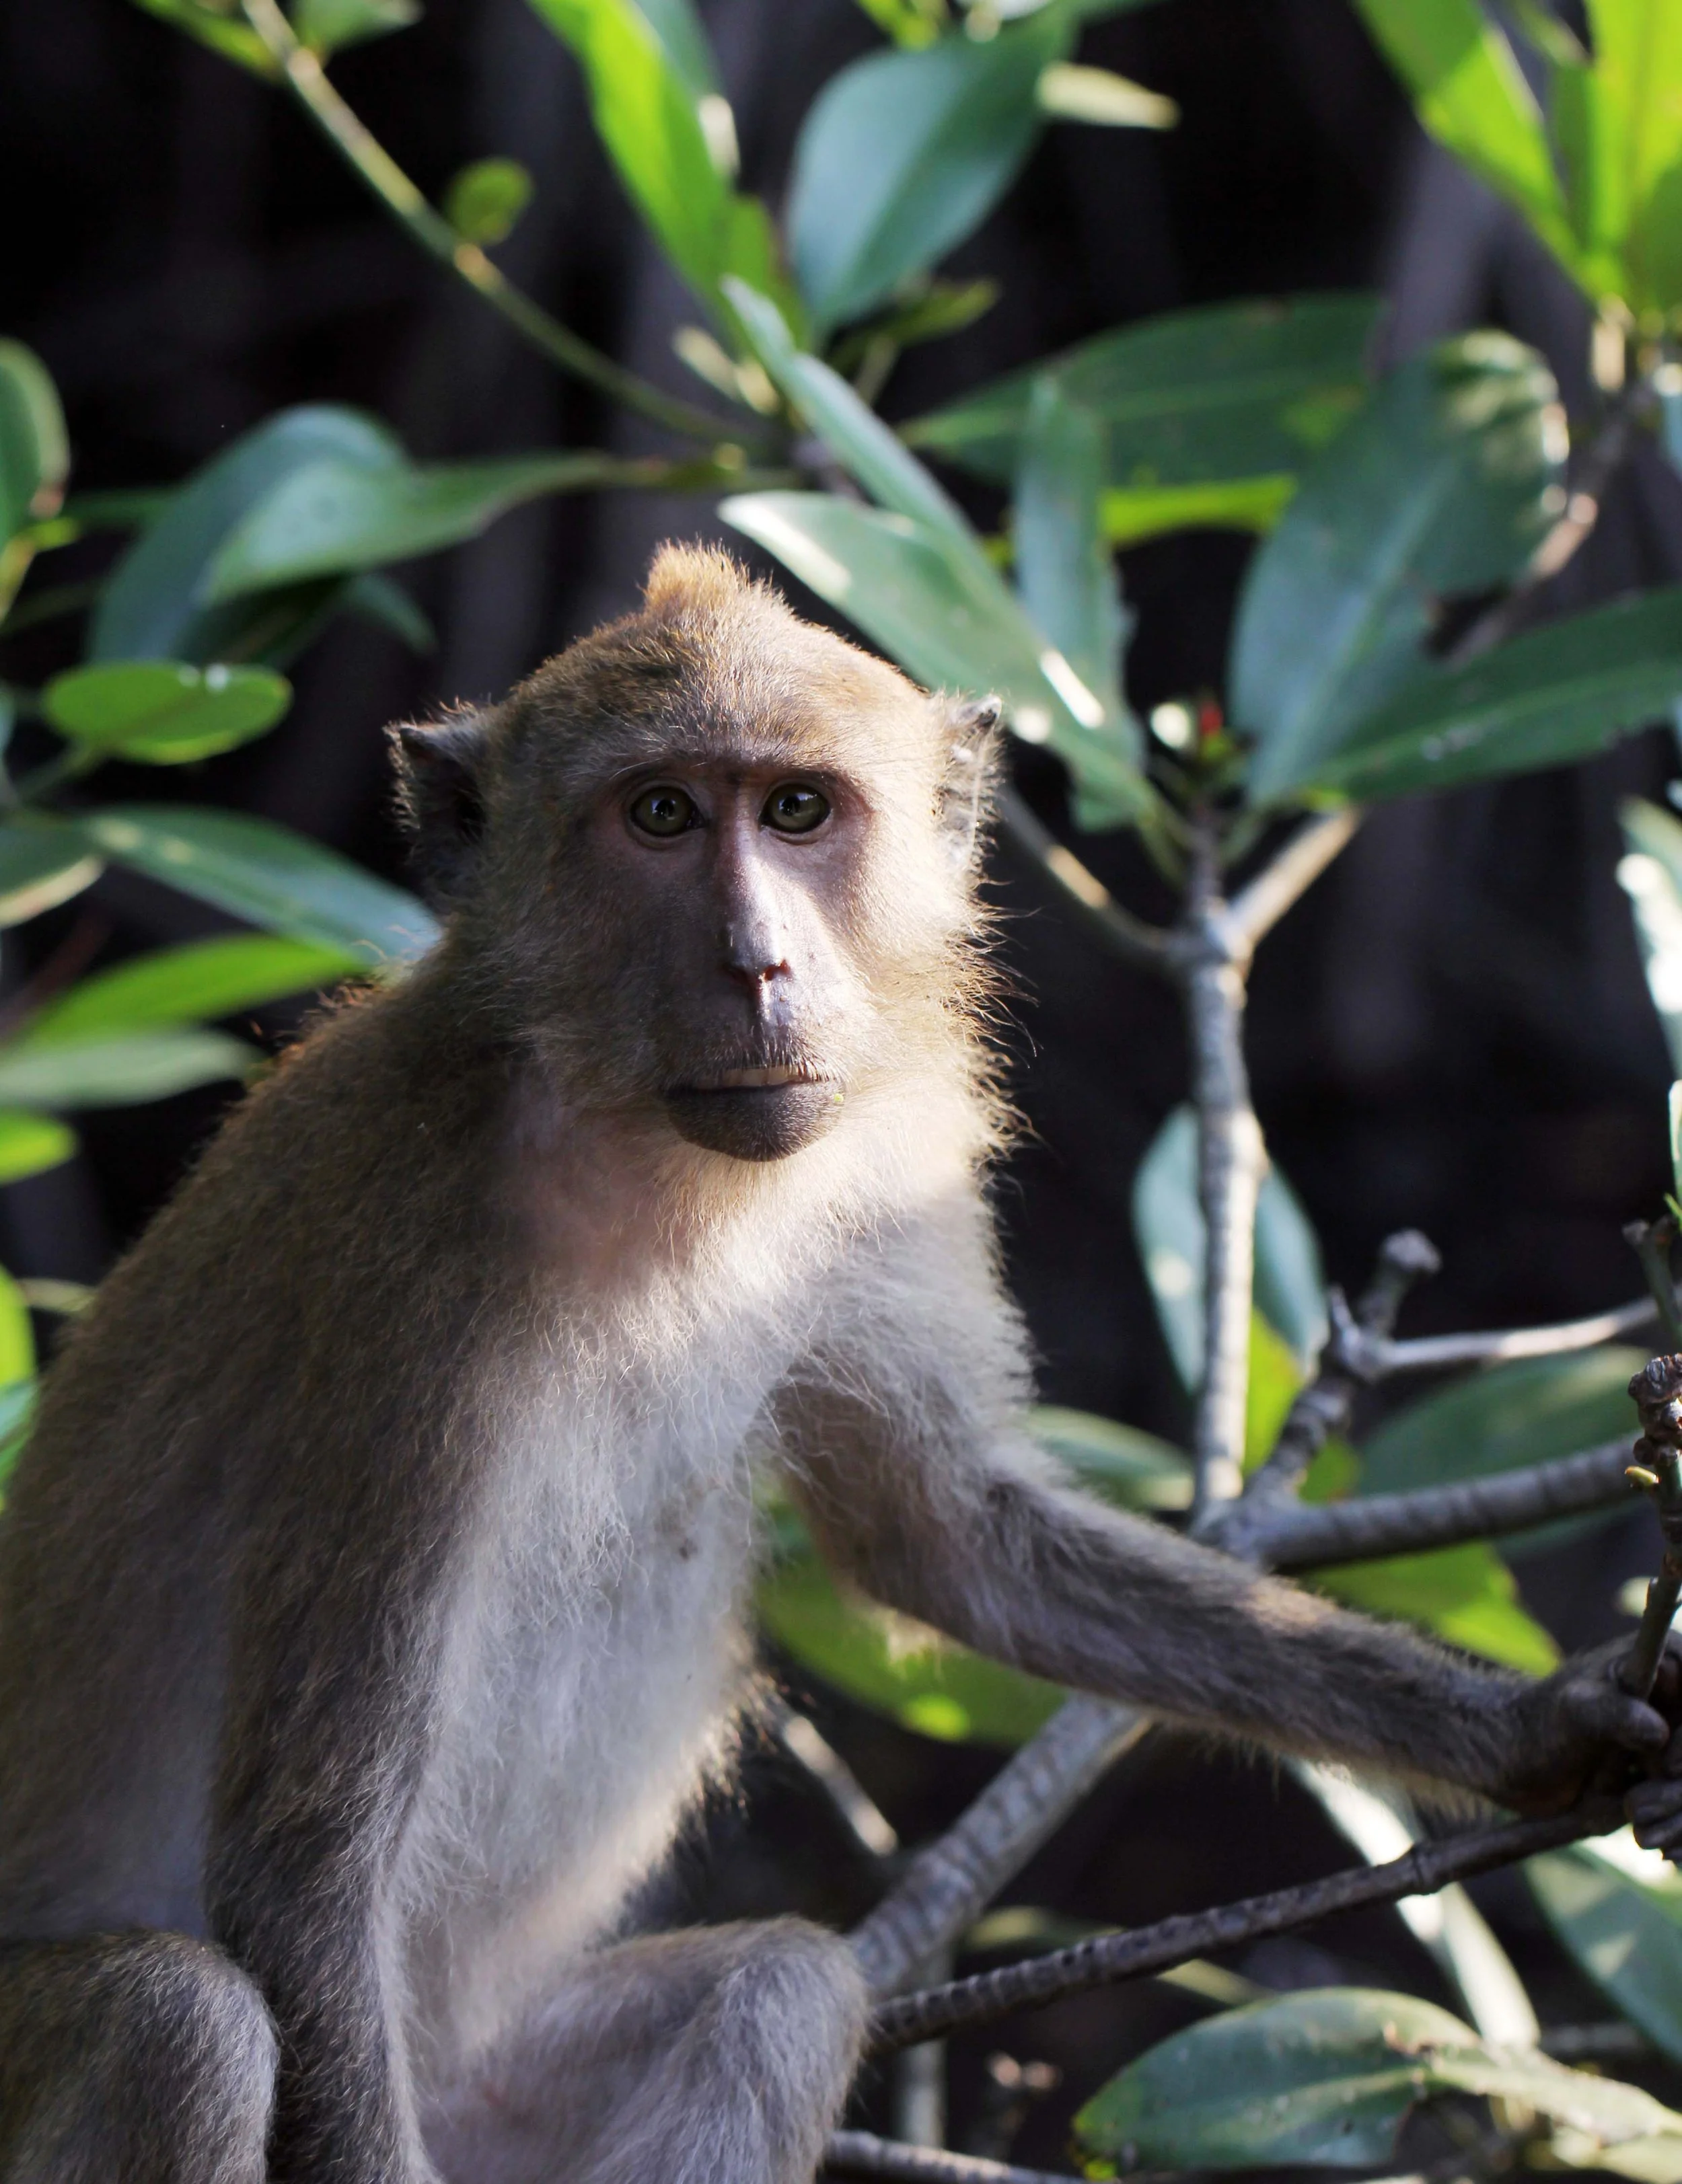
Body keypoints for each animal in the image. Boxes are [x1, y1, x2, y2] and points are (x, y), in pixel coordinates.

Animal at [0, 542, 1677, 2184]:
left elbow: (943, 1536)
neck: (632, 1153)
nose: (758, 966)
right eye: (660, 815)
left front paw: (1537, 1735)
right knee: (176, 2022)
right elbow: (309, 1853)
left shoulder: (879, 1174)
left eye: (797, 811)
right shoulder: (404, 1275)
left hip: (492, 2100)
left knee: (779, 1987)